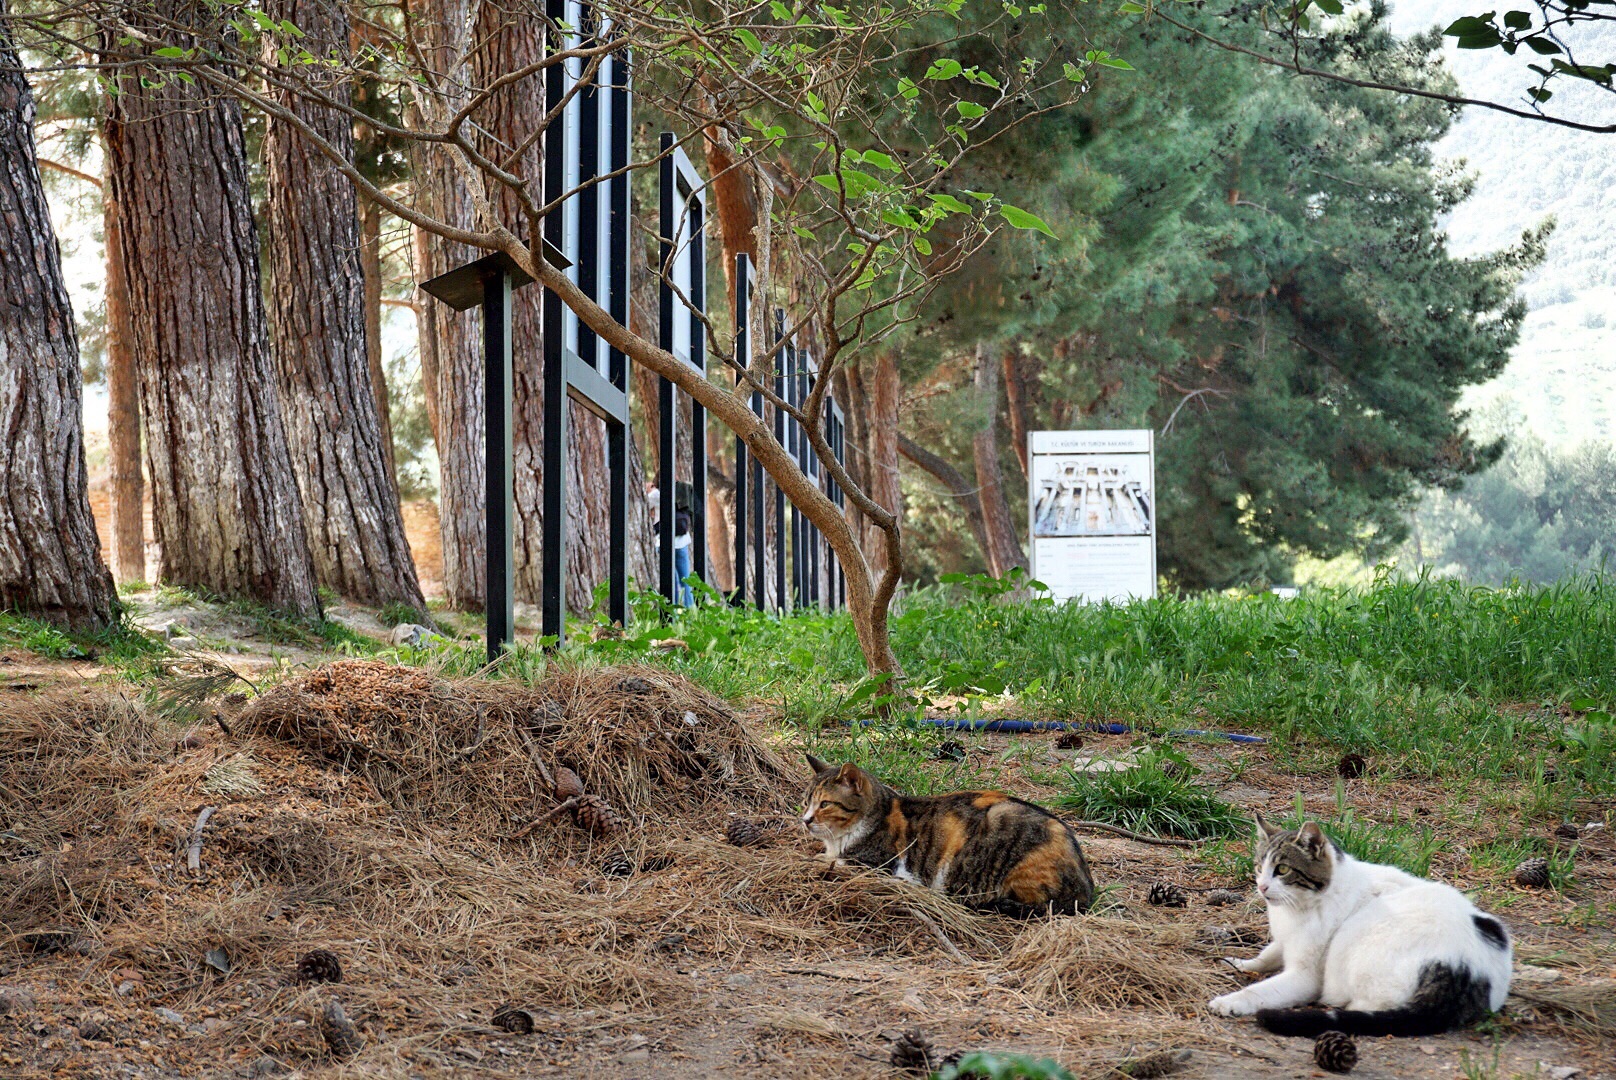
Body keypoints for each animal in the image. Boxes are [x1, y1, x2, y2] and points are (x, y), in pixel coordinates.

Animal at [798, 756, 1092, 918]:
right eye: (805, 802)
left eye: (825, 804)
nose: (806, 820)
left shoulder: (878, 864)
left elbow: (829, 860)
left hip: (1001, 827)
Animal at [1215, 814, 1512, 1034]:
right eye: (1258, 867)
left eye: (1283, 870)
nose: (1262, 886)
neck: (1299, 908)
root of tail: (1464, 969)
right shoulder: (1285, 939)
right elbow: (1267, 955)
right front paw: (1242, 963)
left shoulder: (1305, 976)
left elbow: (1259, 990)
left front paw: (1231, 1001)